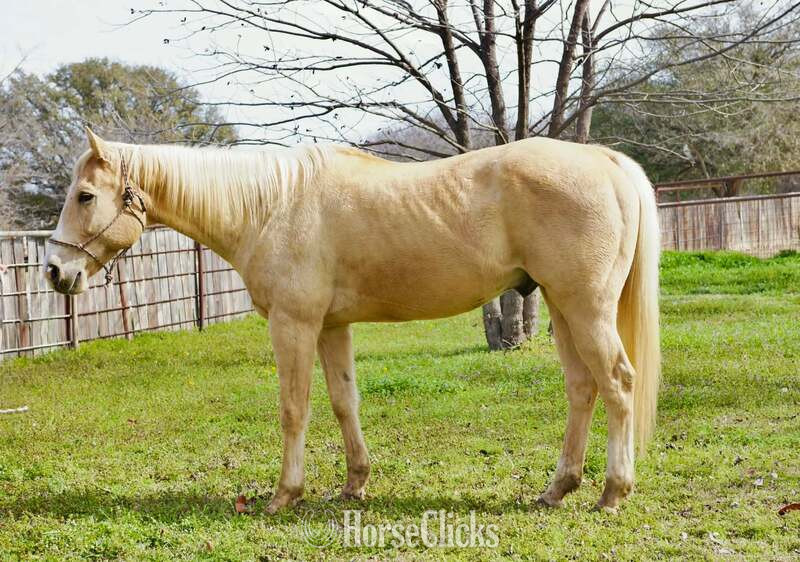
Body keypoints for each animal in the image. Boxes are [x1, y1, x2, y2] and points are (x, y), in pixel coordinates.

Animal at [45, 128, 660, 513]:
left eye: (85, 196)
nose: (54, 271)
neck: (271, 207)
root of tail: (606, 162)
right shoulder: (330, 327)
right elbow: (344, 402)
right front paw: (354, 485)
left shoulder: (292, 324)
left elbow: (294, 408)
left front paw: (284, 495)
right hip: (560, 305)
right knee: (582, 388)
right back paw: (558, 489)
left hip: (584, 307)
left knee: (618, 383)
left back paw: (612, 492)